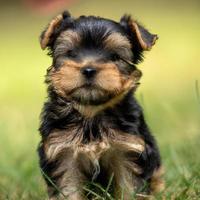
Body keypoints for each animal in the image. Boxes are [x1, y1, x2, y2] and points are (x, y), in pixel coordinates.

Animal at [38, 10, 164, 200]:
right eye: (71, 53)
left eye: (114, 56)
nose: (89, 69)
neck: (91, 112)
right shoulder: (62, 150)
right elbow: (69, 186)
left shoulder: (128, 149)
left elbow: (129, 185)